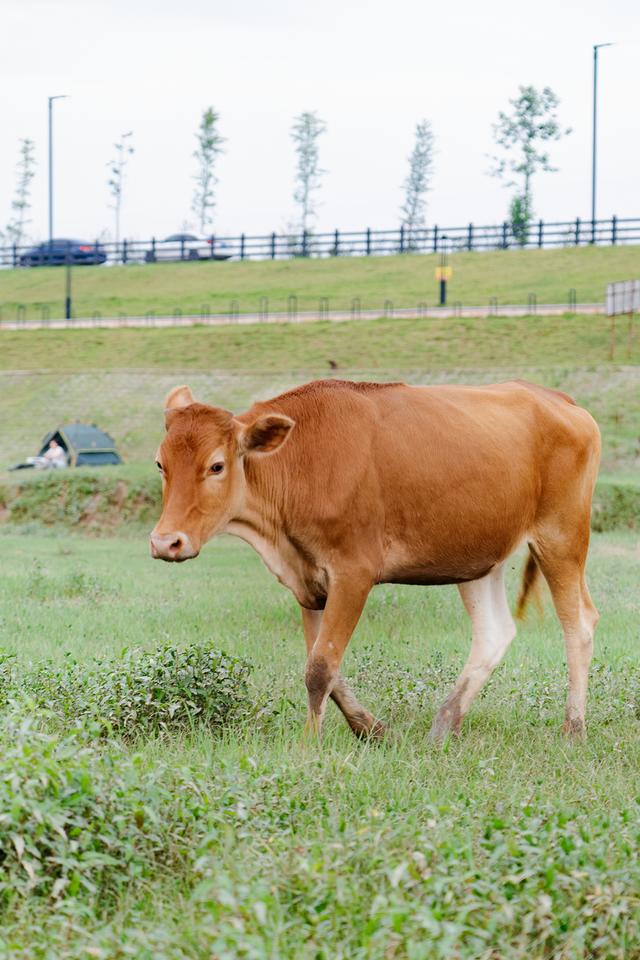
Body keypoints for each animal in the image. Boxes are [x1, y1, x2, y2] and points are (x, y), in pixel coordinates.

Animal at [149, 378, 600, 740]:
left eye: (216, 465)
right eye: (160, 464)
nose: (166, 542)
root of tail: (554, 398)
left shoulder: (353, 573)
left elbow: (320, 668)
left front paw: (306, 747)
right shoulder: (308, 583)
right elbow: (326, 667)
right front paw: (372, 728)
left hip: (561, 536)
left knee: (578, 624)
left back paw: (573, 727)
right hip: (479, 555)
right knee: (494, 632)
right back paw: (445, 723)